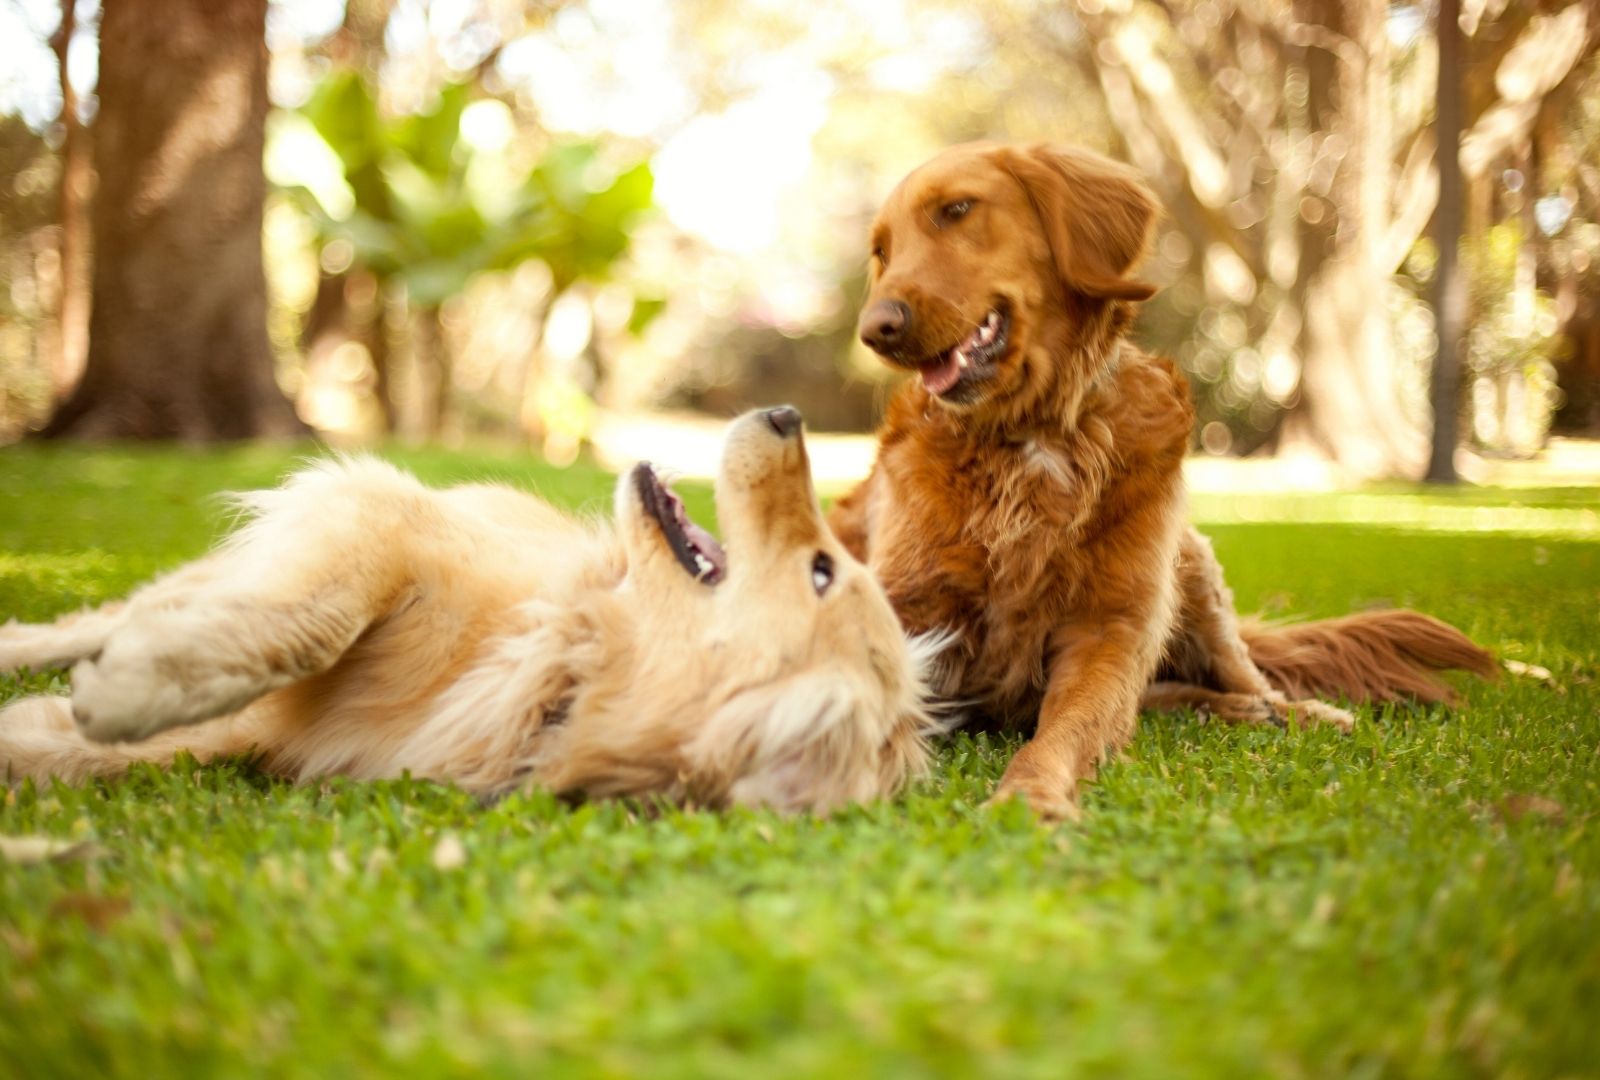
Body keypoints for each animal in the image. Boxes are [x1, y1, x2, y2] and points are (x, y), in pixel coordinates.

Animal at [0, 409, 934, 816]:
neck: (563, 663)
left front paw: (67, 724)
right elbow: (311, 625)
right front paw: (133, 688)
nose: (786, 413)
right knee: (100, 618)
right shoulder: (379, 517)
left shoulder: (267, 735)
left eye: (822, 570)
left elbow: (87, 749)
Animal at [832, 141, 1491, 819]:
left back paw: (1292, 711)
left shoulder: (1111, 627)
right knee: (1167, 696)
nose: (875, 329)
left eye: (957, 210)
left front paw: (1029, 796)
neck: (1032, 435)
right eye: (882, 252)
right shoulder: (903, 606)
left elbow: (1066, 729)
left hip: (1192, 570)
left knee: (1243, 677)